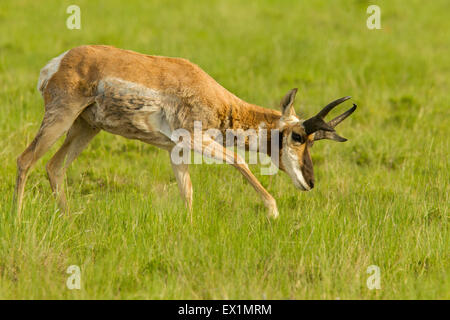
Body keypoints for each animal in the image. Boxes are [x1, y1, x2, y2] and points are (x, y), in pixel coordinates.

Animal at [14, 45, 356, 219]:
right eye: (298, 136)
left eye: (313, 141)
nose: (310, 182)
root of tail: (58, 62)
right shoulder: (195, 139)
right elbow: (238, 160)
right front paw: (272, 210)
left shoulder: (175, 152)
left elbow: (187, 192)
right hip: (61, 119)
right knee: (25, 160)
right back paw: (17, 222)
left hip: (86, 128)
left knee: (54, 167)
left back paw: (70, 220)